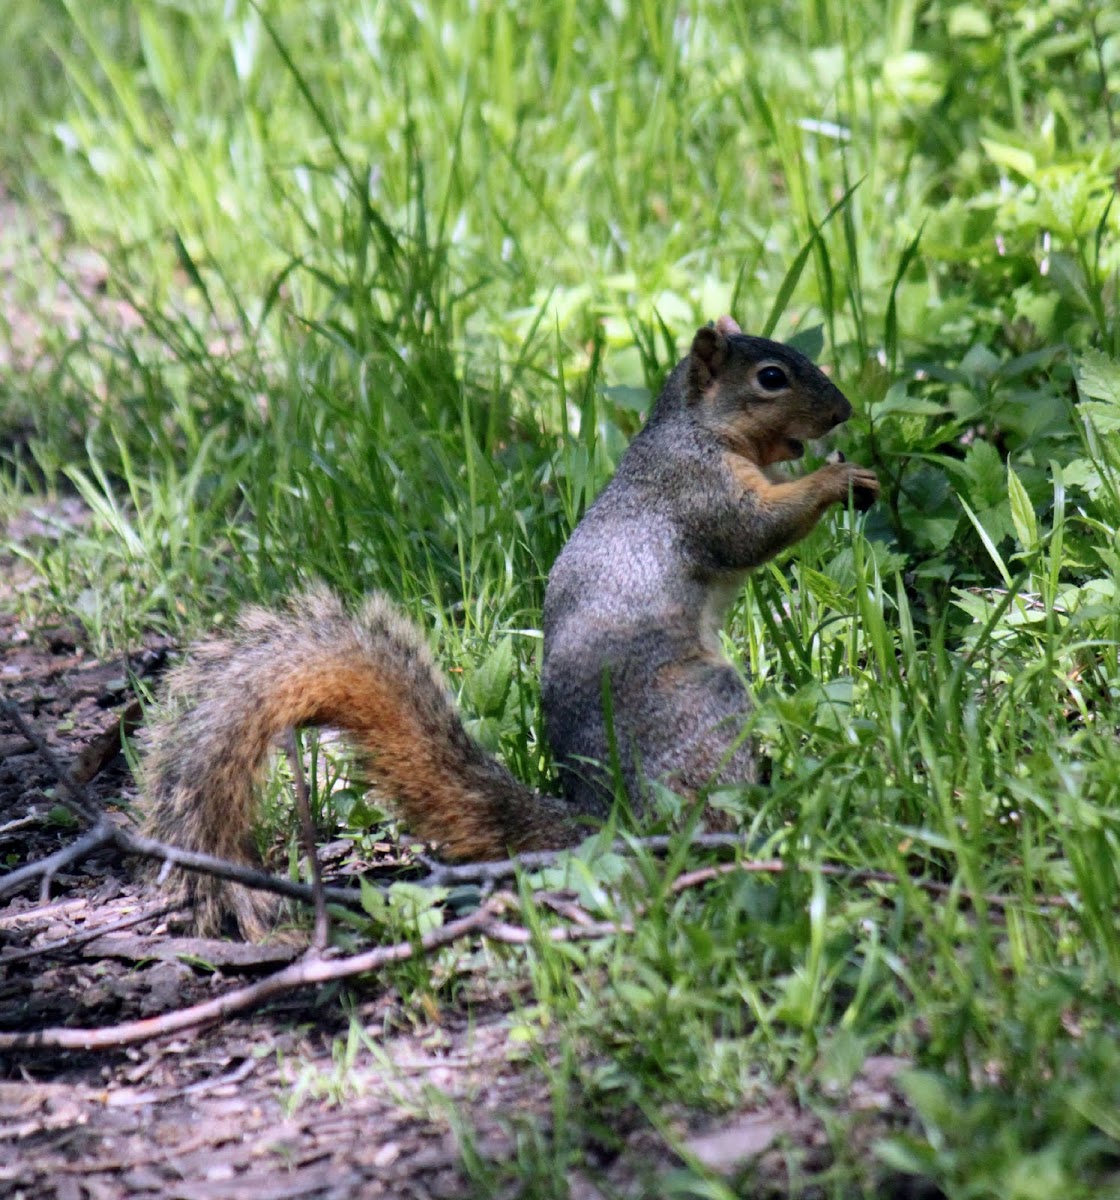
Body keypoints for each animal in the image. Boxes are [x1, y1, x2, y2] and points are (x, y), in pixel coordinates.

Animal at [139, 319, 878, 936]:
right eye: (771, 377)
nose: (843, 412)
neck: (698, 430)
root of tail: (609, 819)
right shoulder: (700, 491)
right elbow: (755, 529)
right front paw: (837, 477)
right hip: (705, 707)